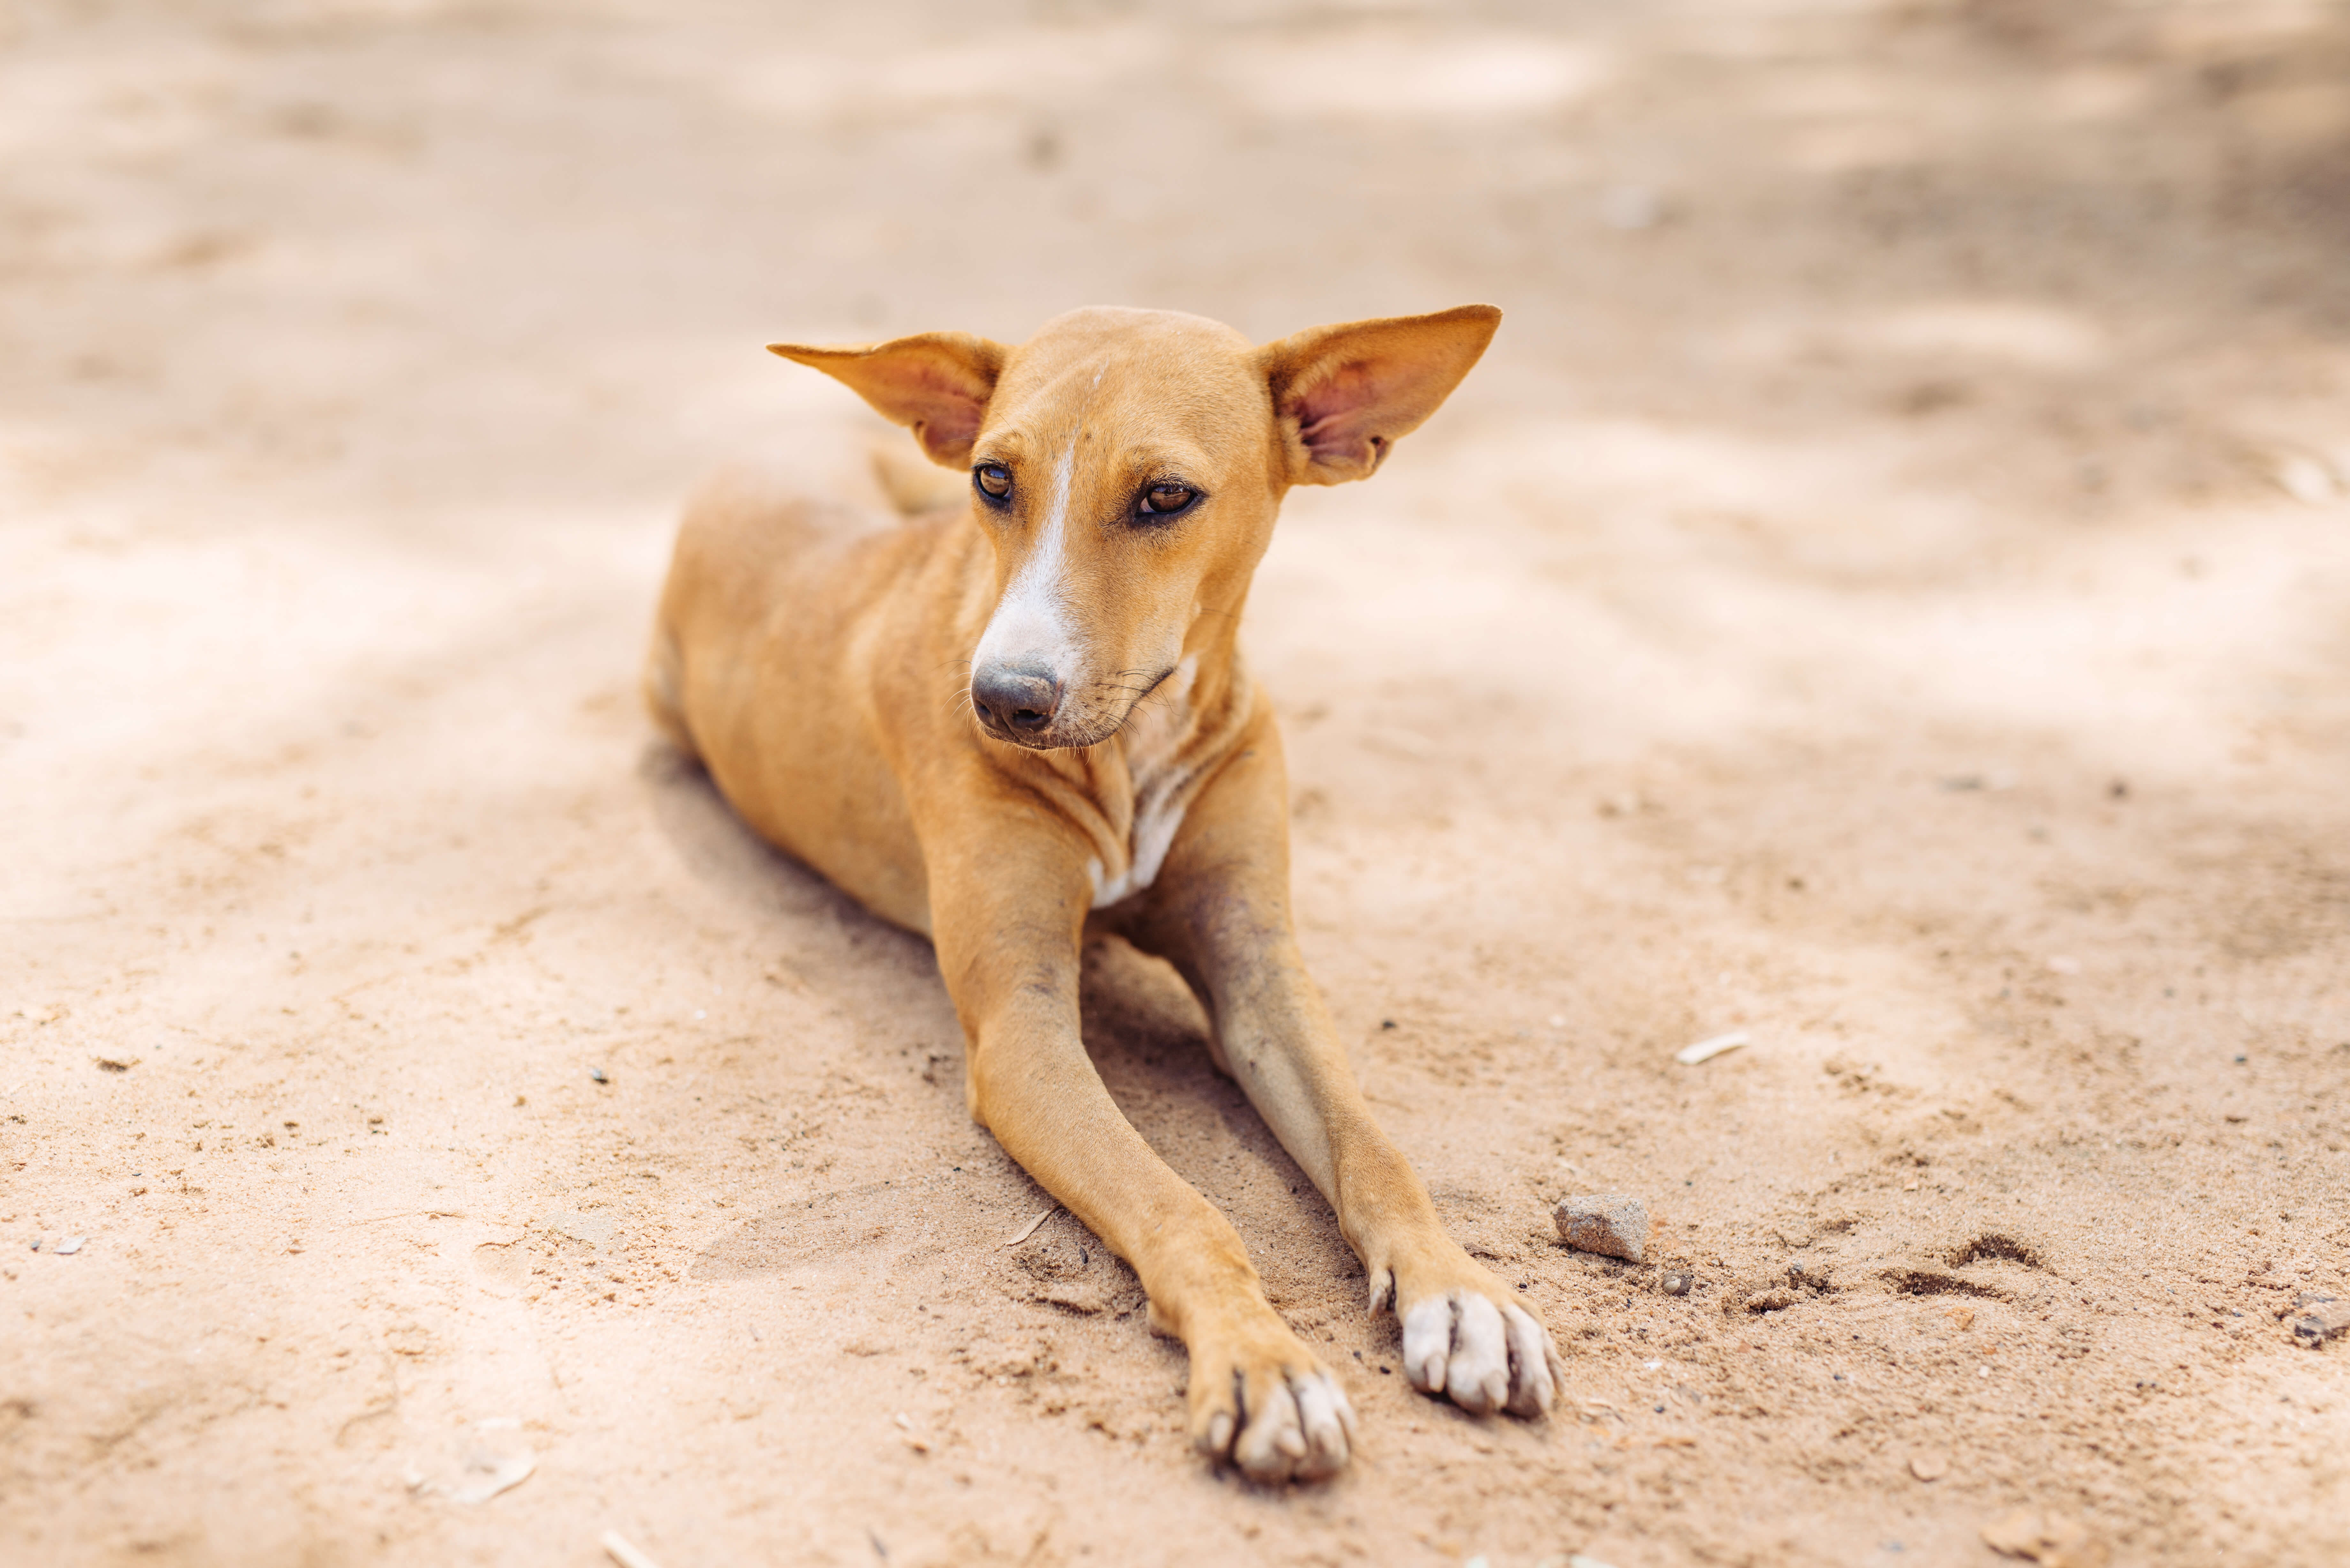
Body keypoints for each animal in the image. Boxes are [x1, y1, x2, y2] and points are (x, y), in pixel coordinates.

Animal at [644, 305, 1560, 1486]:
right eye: (995, 480)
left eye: (1165, 497)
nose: (1001, 701)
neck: (1134, 737)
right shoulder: (1023, 1034)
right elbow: (1180, 1203)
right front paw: (1262, 1358)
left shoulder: (1256, 965)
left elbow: (1376, 1148)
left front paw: (1462, 1293)